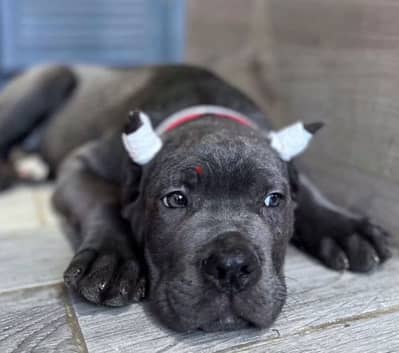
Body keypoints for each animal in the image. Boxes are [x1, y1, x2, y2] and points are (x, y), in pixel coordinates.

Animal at [0, 64, 394, 332]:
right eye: (175, 200)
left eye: (273, 200)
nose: (232, 268)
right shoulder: (80, 162)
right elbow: (104, 200)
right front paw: (112, 260)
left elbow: (308, 189)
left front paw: (346, 229)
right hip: (49, 79)